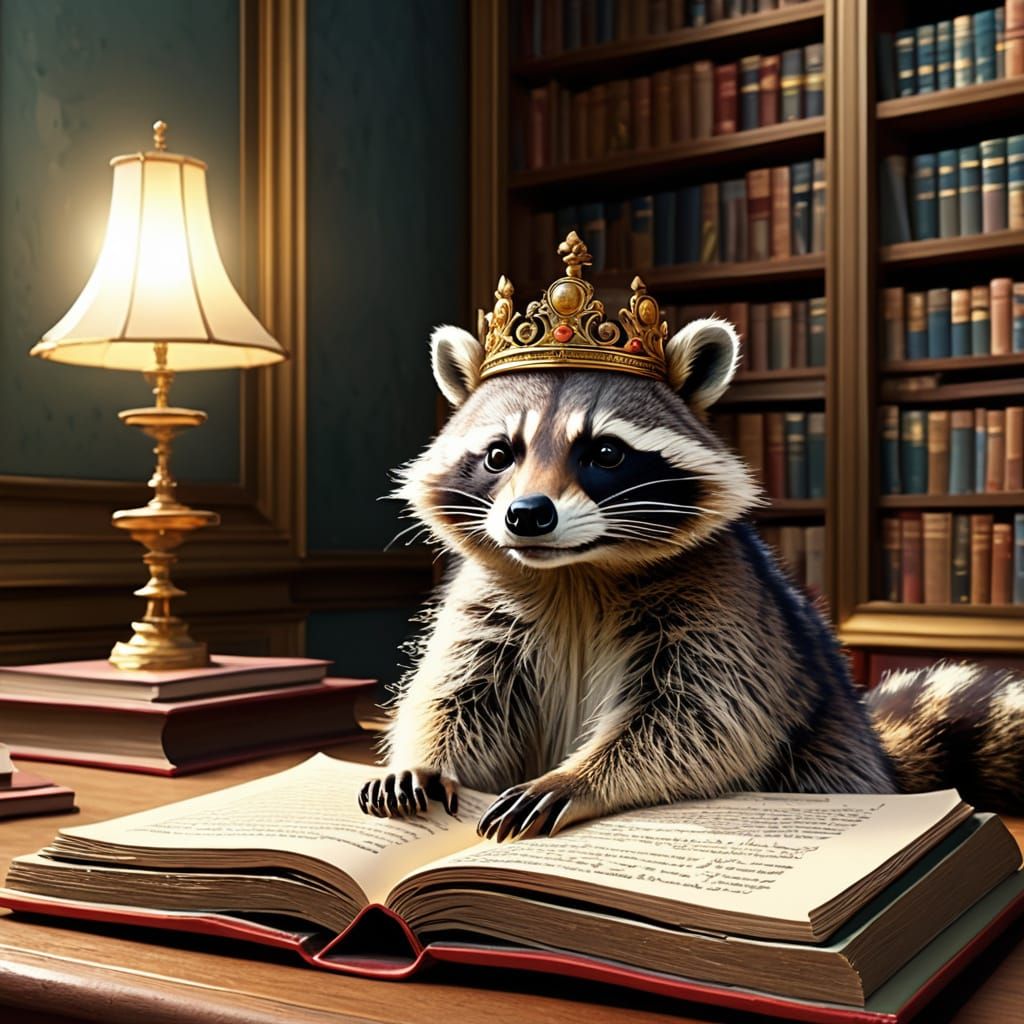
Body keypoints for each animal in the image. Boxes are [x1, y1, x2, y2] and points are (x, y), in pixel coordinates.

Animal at [358, 317, 1024, 839]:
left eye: (604, 453)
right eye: (500, 454)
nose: (527, 516)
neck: (575, 573)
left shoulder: (720, 599)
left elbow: (702, 716)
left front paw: (578, 777)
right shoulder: (488, 603)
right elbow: (458, 693)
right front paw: (425, 760)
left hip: (828, 756)